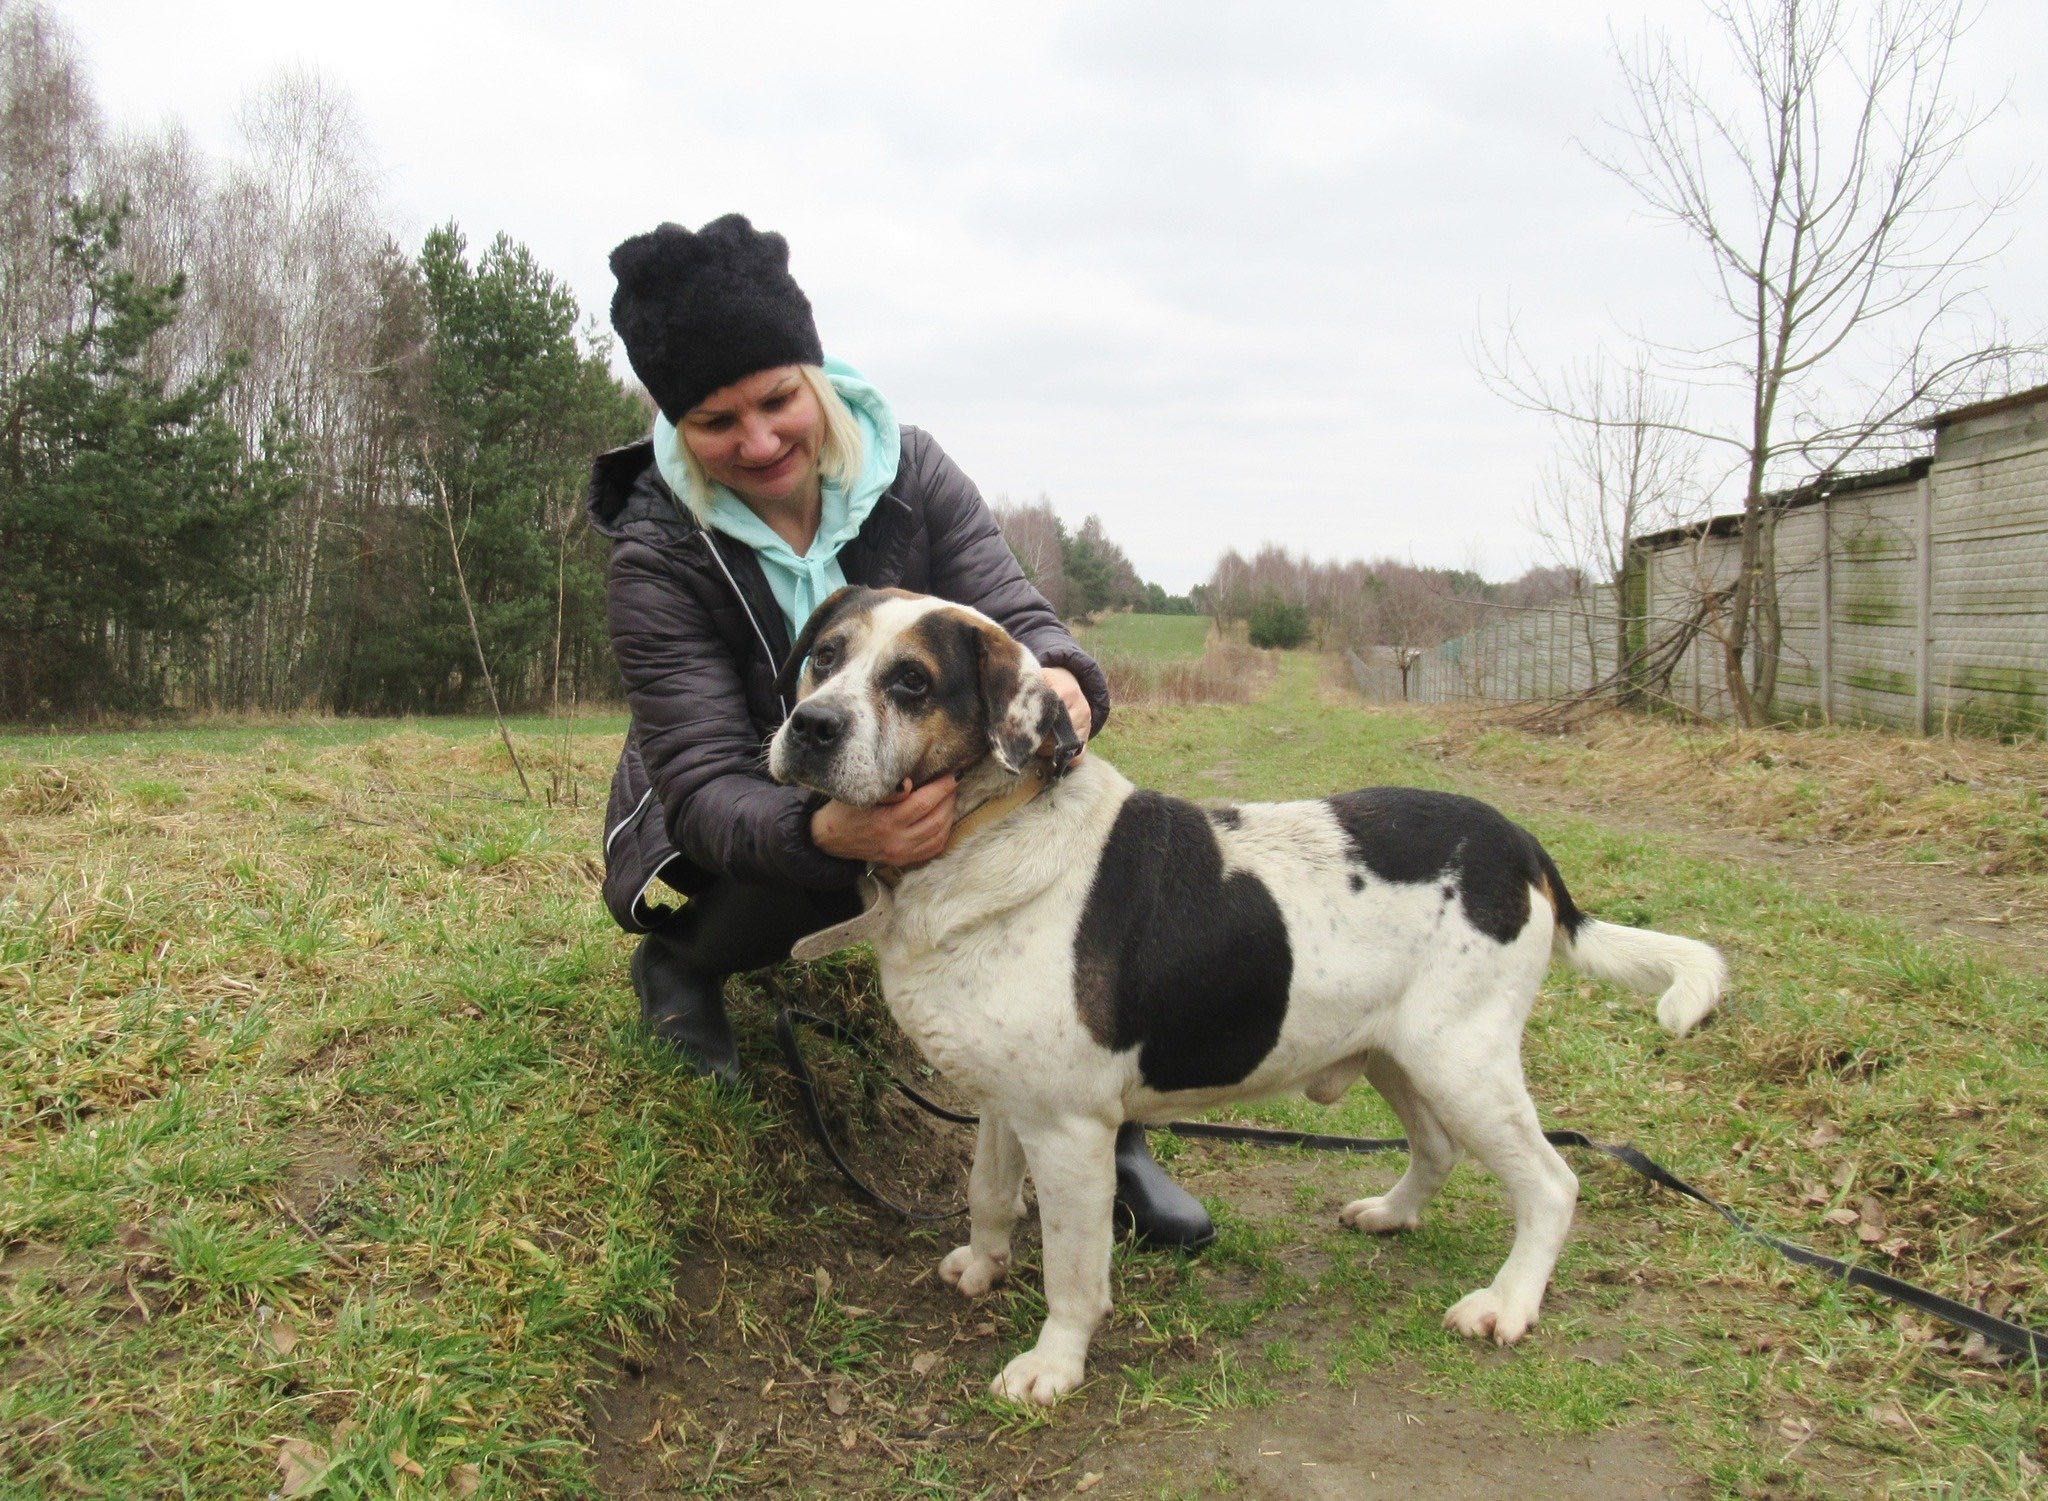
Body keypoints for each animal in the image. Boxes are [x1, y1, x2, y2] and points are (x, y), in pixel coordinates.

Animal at [770, 585, 1728, 1408]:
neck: (988, 829)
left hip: (1464, 1061)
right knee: (1437, 1147)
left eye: (912, 681)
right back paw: (1392, 1214)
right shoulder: (1008, 1102)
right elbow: (987, 1190)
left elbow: (1074, 1269)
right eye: (825, 654)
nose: (809, 727)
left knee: (1553, 1184)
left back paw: (1507, 1303)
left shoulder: (1070, 1128)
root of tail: (1522, 843)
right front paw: (981, 1265)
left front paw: (1054, 1364)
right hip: (1399, 1053)